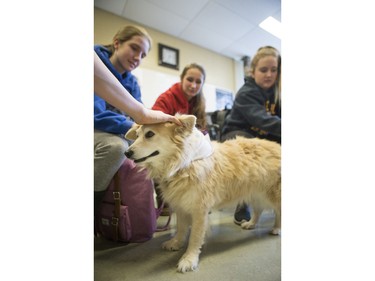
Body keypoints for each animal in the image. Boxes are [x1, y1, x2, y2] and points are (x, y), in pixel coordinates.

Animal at [125, 114, 280, 272]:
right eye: (136, 135)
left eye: (149, 134)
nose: (127, 153)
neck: (183, 164)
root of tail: (276, 145)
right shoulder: (181, 206)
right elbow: (181, 228)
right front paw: (176, 243)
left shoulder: (200, 210)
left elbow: (195, 237)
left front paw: (189, 259)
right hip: (255, 193)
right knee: (259, 209)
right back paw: (251, 223)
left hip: (273, 194)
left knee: (278, 212)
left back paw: (276, 228)